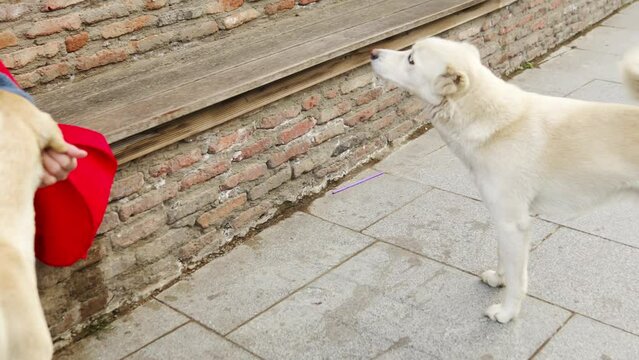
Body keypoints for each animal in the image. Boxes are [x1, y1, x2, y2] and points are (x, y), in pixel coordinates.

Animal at [370, 37, 639, 324]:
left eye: (411, 59)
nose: (372, 53)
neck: (490, 121)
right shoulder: (501, 218)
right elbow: (503, 260)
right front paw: (498, 279)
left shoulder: (513, 223)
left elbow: (517, 278)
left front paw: (507, 312)